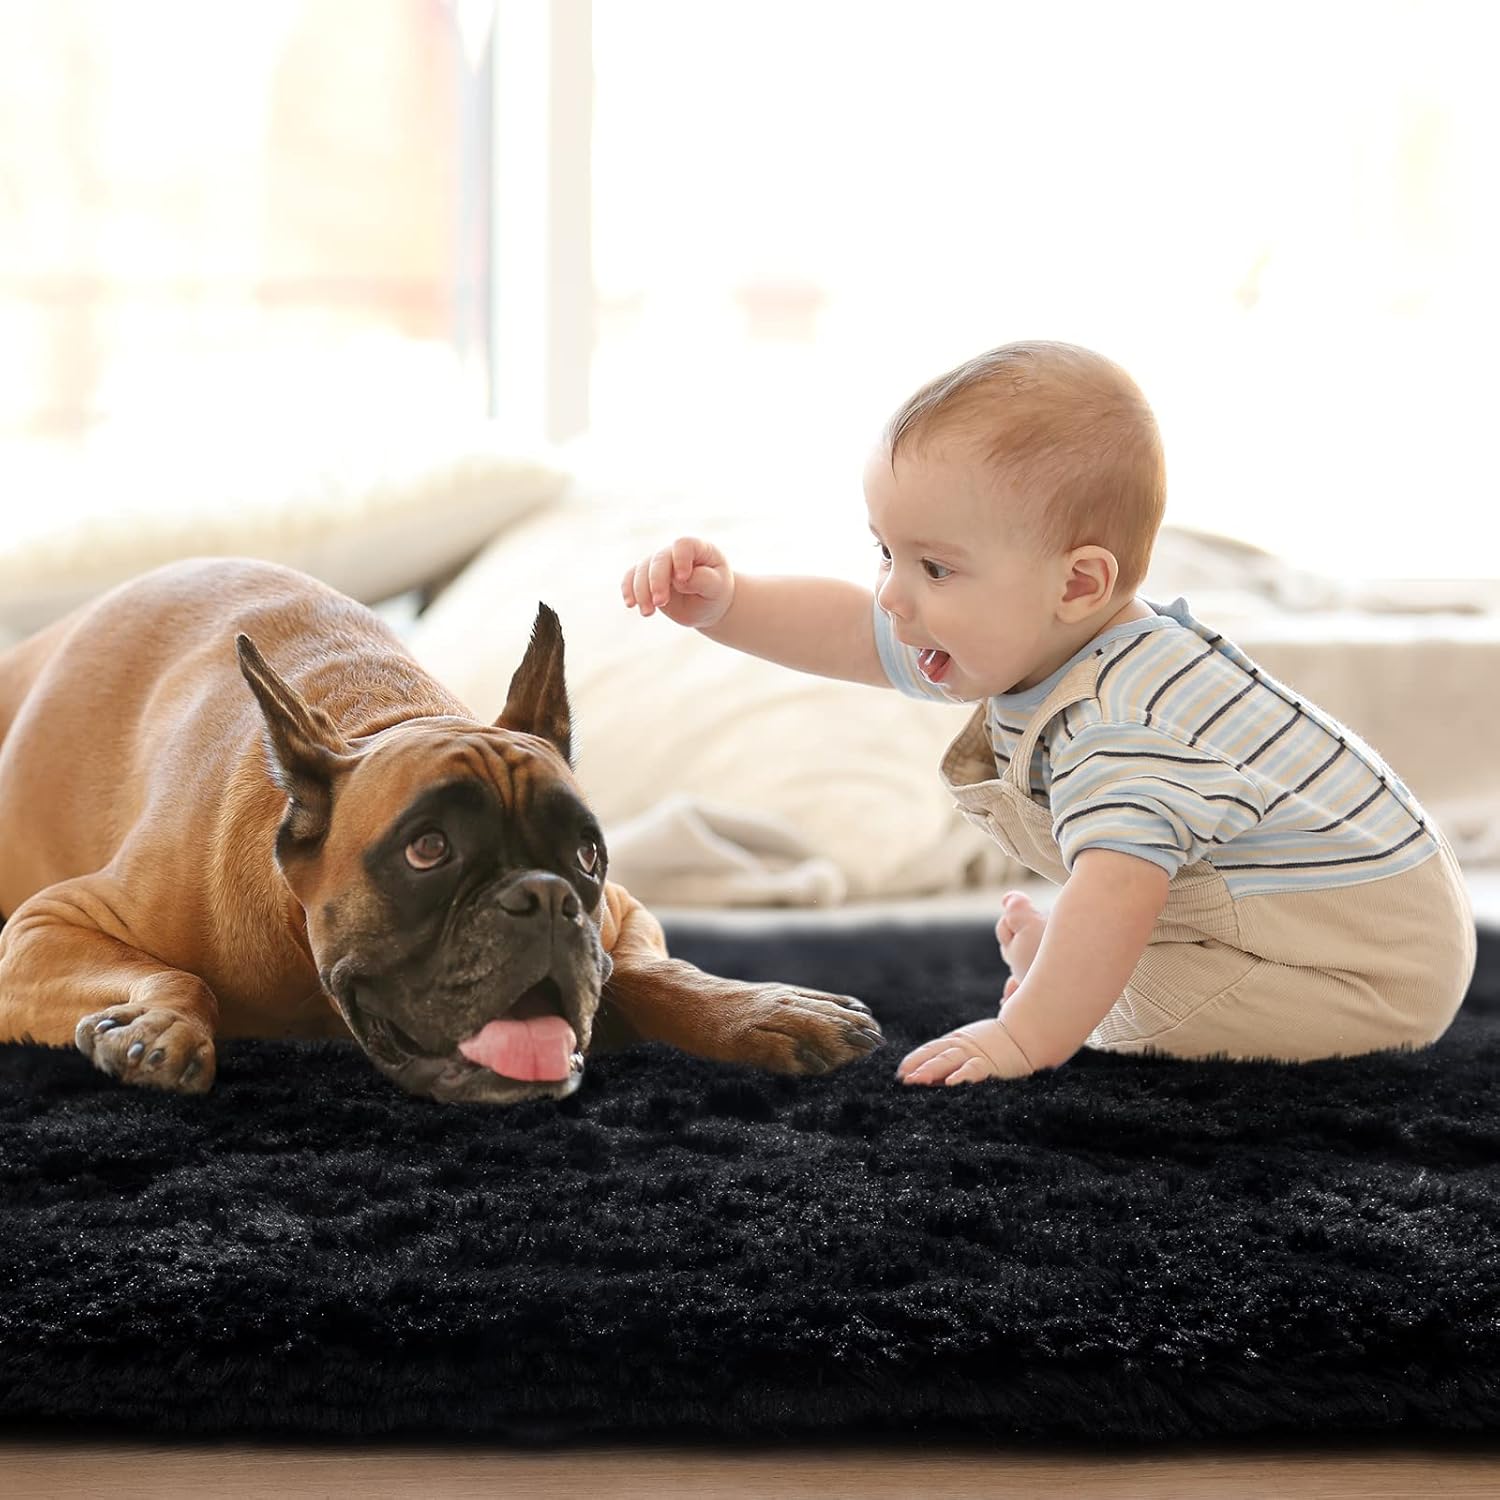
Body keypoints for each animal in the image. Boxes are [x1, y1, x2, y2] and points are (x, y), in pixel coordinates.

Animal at [0, 558, 882, 1110]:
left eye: (586, 855)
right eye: (427, 850)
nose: (546, 898)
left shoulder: (626, 911)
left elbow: (645, 971)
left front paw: (762, 1007)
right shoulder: (43, 931)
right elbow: (180, 978)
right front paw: (161, 1024)